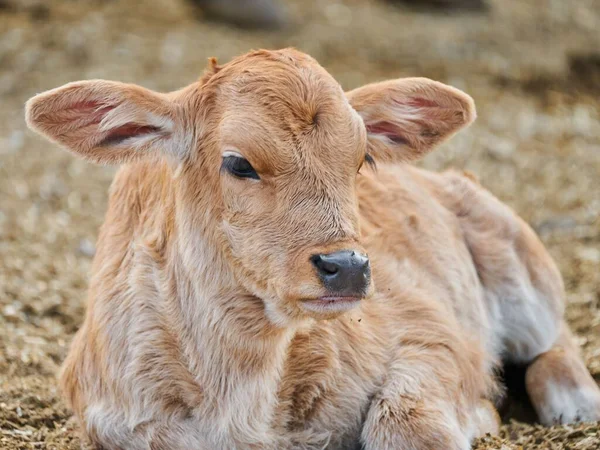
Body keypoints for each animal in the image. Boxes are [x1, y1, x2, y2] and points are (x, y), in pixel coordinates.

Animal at [24, 47, 600, 448]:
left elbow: (407, 424)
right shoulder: (110, 408)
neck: (244, 381)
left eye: (363, 156)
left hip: (520, 266)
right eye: (238, 162)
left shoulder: (433, 330)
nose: (347, 267)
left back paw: (574, 402)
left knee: (555, 336)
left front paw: (480, 413)